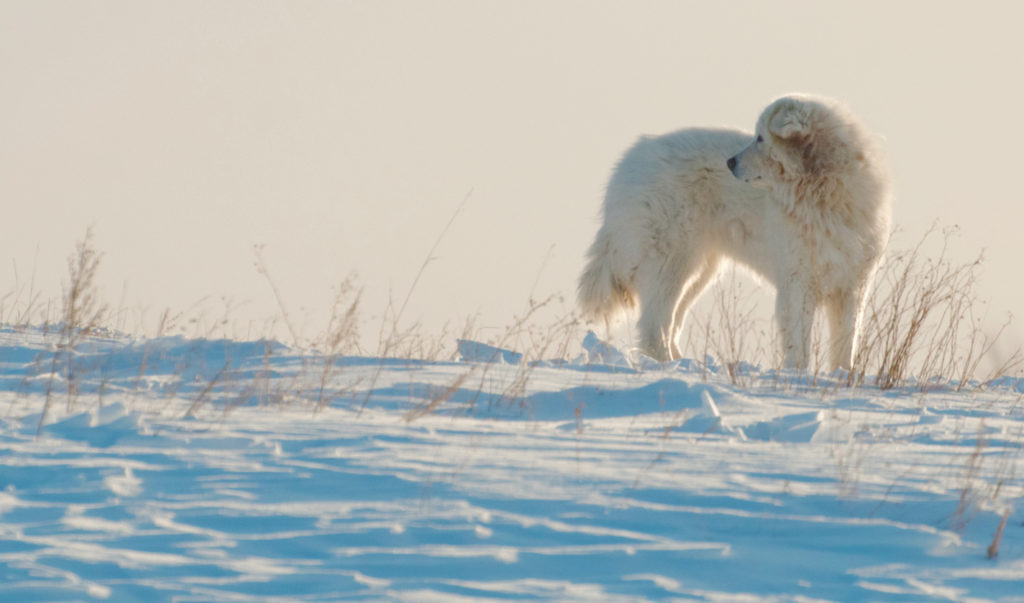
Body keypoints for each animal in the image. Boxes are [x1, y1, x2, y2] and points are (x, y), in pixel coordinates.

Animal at [581, 94, 892, 368]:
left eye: (760, 138)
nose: (729, 162)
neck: (824, 192)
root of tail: (629, 161)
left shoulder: (852, 285)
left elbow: (845, 343)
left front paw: (842, 378)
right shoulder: (797, 280)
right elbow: (799, 343)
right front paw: (797, 377)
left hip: (698, 272)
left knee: (671, 323)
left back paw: (684, 363)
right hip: (670, 264)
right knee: (654, 326)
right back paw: (670, 367)